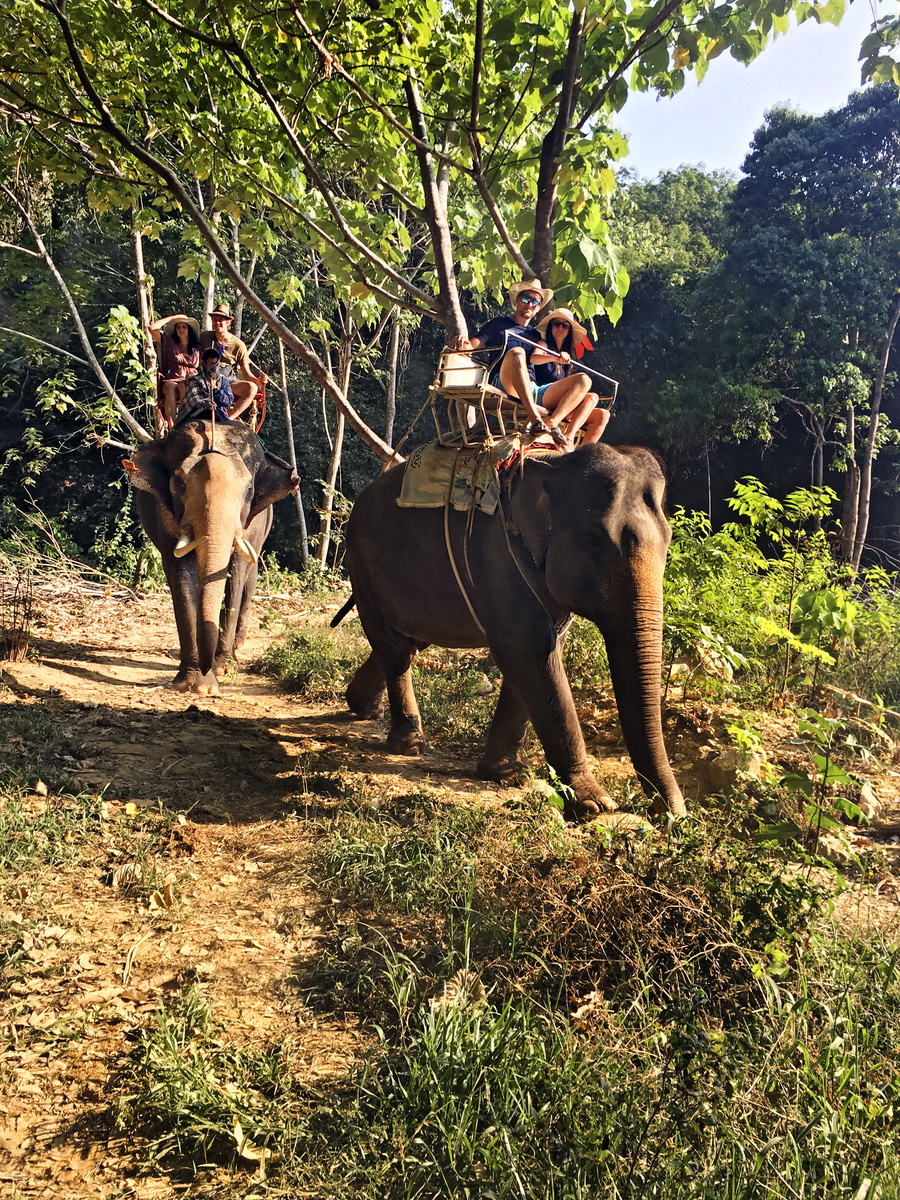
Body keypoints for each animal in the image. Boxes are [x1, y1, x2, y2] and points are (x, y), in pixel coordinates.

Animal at [124, 417, 300, 696]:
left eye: (249, 489)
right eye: (179, 483)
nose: (208, 672)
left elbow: (235, 575)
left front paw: (222, 670)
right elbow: (180, 573)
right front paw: (195, 685)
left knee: (250, 580)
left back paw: (237, 645)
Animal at [340, 444, 686, 825]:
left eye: (669, 543)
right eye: (594, 545)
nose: (670, 815)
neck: (552, 467)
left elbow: (541, 653)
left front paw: (507, 774)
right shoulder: (494, 558)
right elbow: (528, 651)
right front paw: (593, 805)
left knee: (410, 641)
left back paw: (363, 707)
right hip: (361, 562)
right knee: (392, 644)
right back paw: (409, 745)